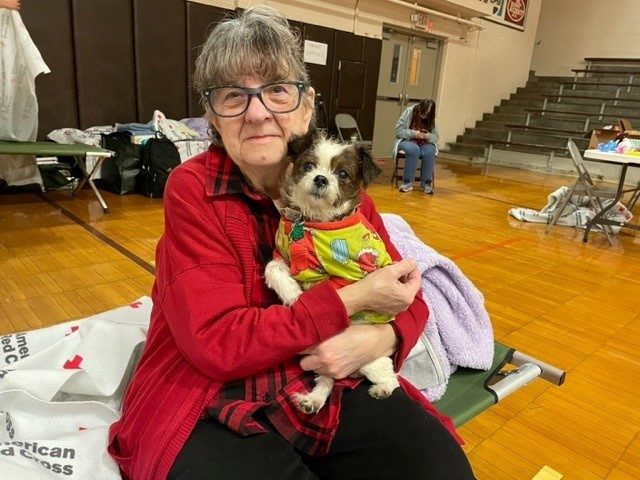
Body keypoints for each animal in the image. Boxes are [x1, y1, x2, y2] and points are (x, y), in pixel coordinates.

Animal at [264, 130, 400, 412]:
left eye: (343, 174)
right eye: (308, 166)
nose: (320, 178)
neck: (313, 221)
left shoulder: (354, 275)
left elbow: (328, 288)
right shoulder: (281, 254)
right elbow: (273, 268)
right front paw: (292, 293)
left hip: (370, 360)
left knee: (391, 376)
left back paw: (382, 389)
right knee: (327, 379)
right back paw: (313, 400)